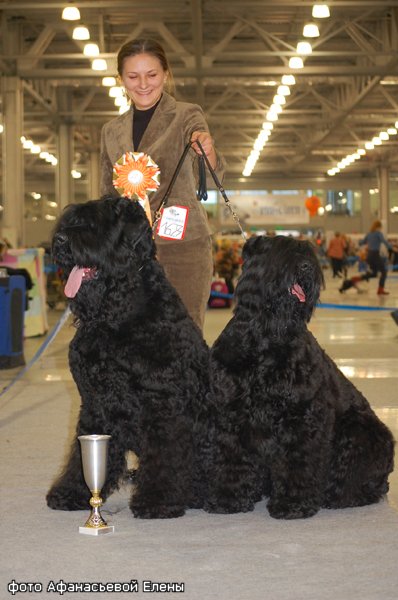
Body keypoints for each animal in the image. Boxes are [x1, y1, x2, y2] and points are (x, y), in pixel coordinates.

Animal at [46, 198, 211, 520]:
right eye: (71, 220)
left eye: (94, 224)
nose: (59, 241)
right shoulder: (94, 402)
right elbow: (81, 455)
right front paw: (72, 492)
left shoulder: (163, 403)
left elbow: (166, 453)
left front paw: (158, 500)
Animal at [207, 237, 394, 516]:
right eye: (278, 251)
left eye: (308, 252)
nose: (307, 267)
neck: (265, 338)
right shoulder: (231, 412)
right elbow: (232, 459)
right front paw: (228, 498)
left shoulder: (303, 415)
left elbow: (298, 461)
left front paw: (293, 503)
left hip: (358, 431)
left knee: (361, 481)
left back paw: (342, 496)